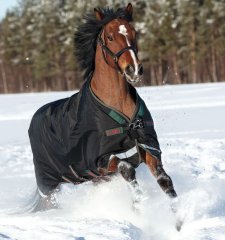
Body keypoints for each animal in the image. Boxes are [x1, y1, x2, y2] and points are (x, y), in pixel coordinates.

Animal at [28, 3, 177, 210]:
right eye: (110, 37)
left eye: (135, 32)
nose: (134, 69)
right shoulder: (101, 159)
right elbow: (127, 170)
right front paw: (138, 206)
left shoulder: (147, 146)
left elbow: (165, 180)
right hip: (49, 185)